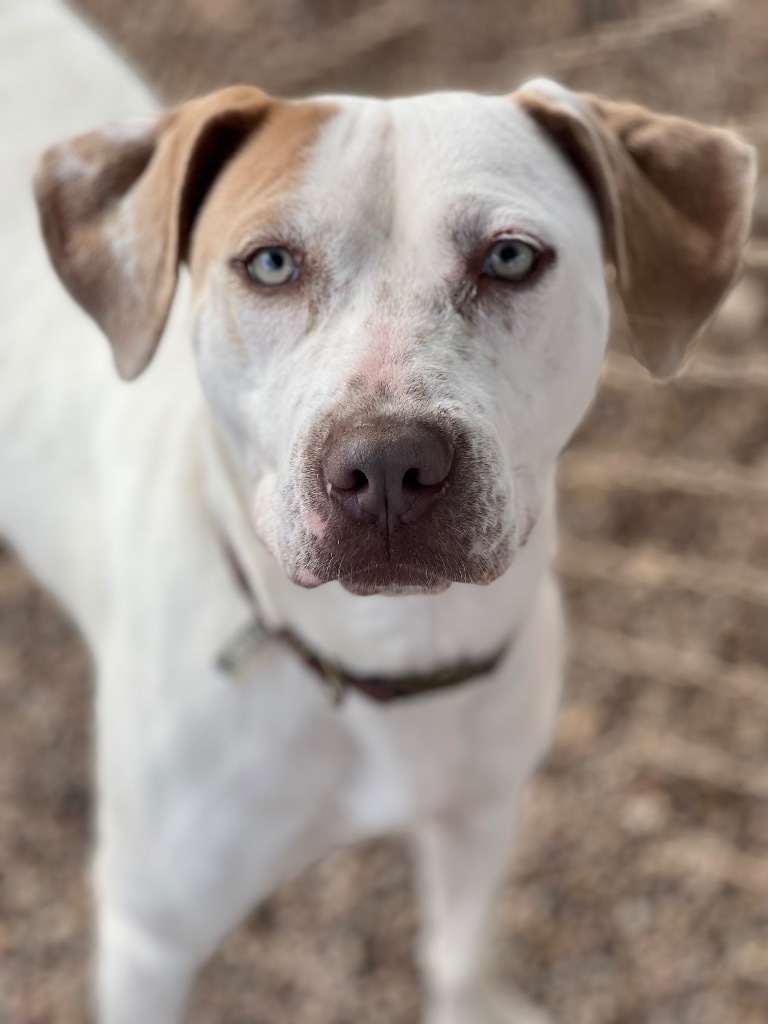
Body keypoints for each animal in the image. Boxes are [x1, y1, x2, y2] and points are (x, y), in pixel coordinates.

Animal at [0, 2, 757, 1024]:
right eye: (270, 263)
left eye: (510, 256)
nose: (390, 464)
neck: (384, 658)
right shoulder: (149, 939)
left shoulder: (483, 812)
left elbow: (459, 956)